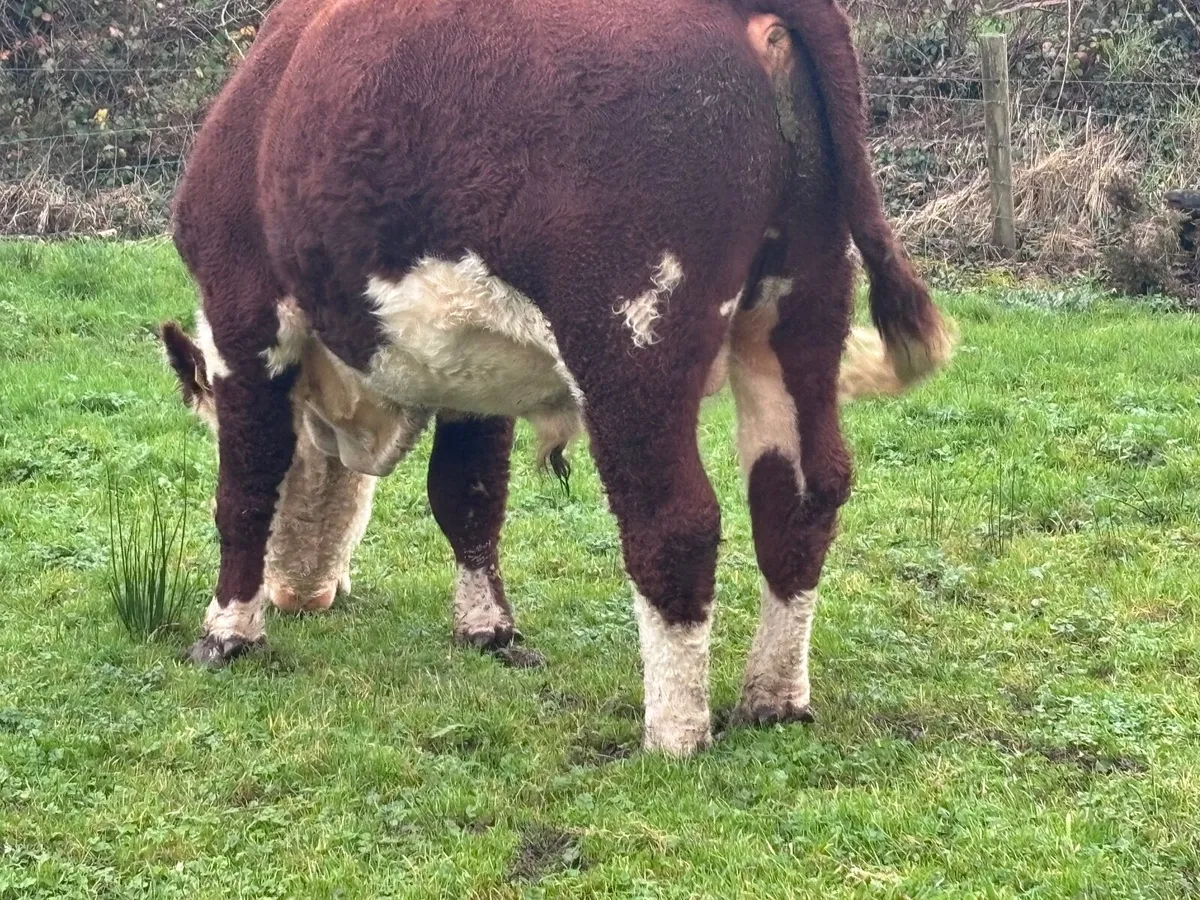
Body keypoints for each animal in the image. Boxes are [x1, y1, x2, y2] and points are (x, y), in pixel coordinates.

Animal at [167, 0, 953, 756]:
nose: (300, 598)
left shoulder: (244, 314)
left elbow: (245, 491)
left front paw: (227, 631)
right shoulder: (467, 364)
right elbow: (467, 495)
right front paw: (487, 628)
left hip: (632, 333)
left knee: (674, 519)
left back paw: (674, 734)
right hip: (802, 302)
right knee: (802, 493)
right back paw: (775, 698)